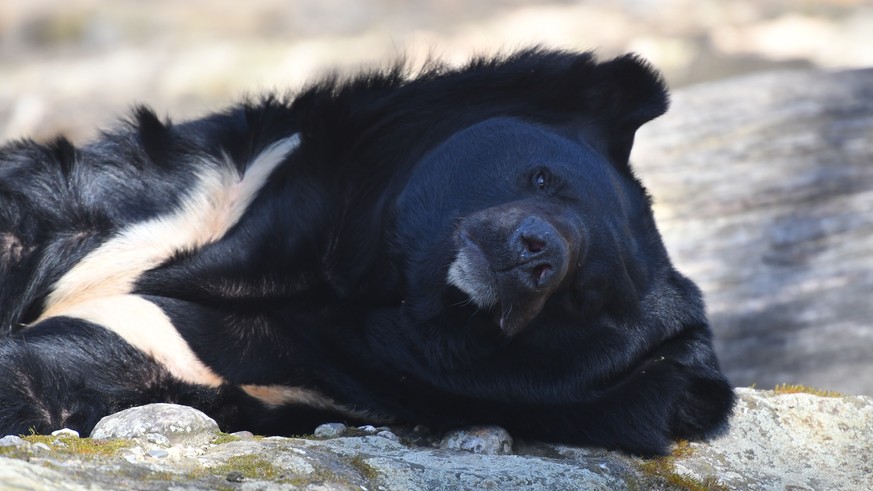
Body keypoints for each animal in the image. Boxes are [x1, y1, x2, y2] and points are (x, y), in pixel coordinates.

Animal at [0, 48, 736, 456]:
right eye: (540, 178)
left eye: (583, 296)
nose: (536, 255)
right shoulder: (200, 192)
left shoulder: (242, 365)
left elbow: (53, 378)